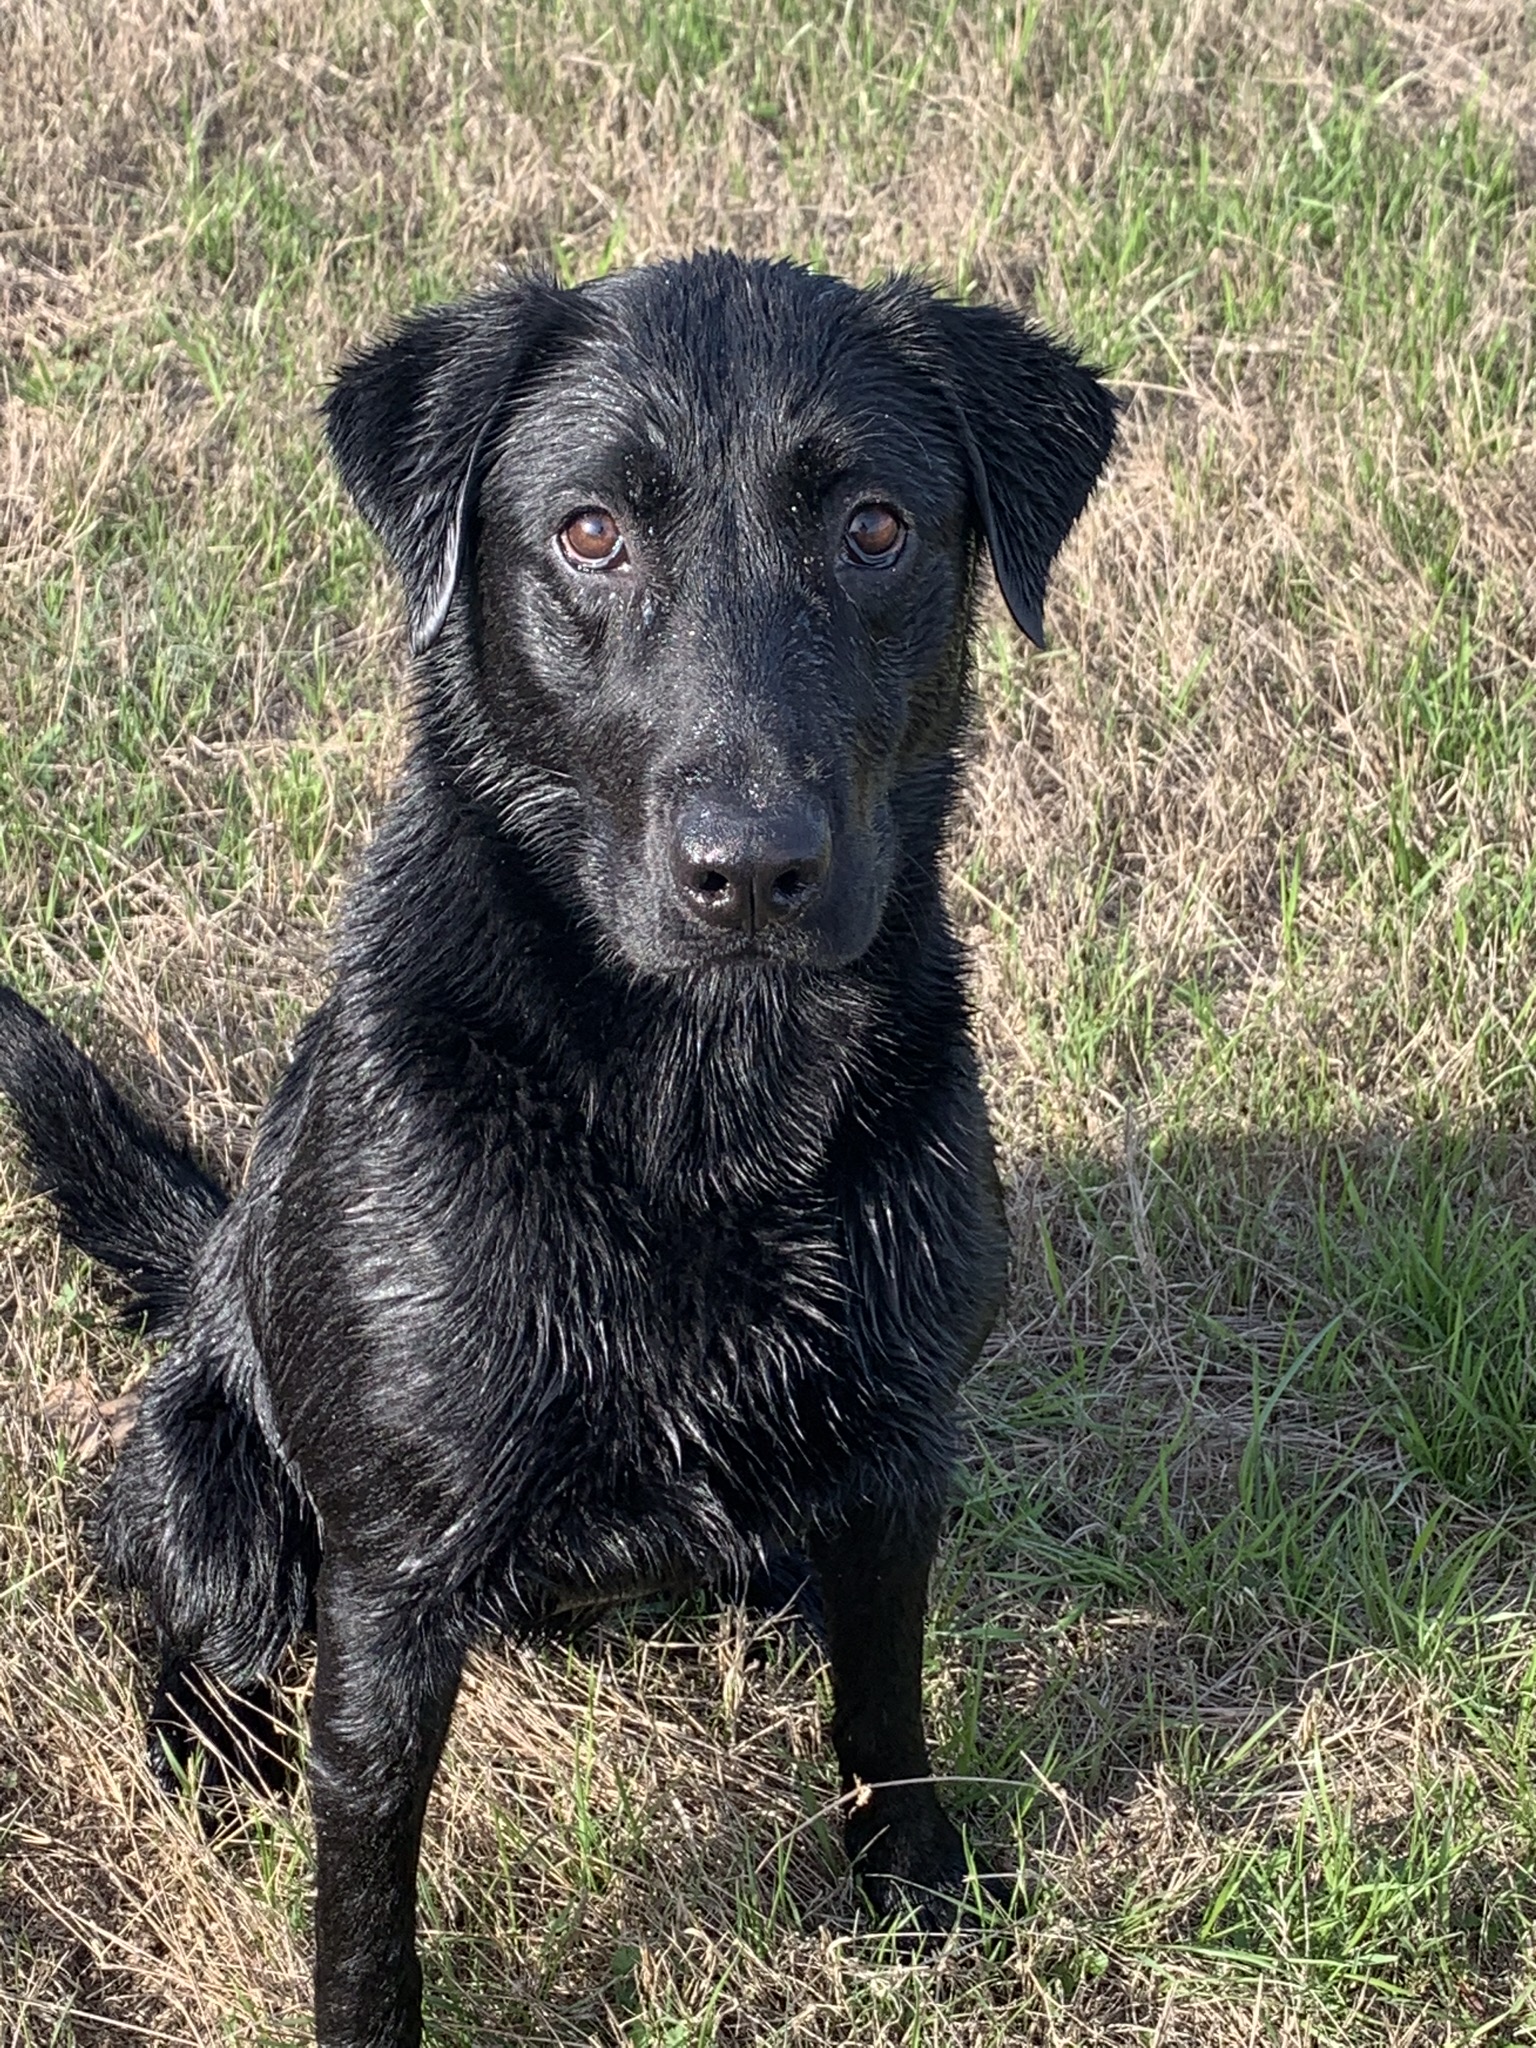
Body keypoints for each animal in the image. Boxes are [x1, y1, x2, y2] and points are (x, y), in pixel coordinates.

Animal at [0, 256, 1114, 2048]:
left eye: (874, 527)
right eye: (590, 532)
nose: (752, 870)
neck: (704, 1104)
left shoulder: (897, 1455)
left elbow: (887, 1708)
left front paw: (920, 1905)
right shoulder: (392, 1581)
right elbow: (364, 1894)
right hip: (215, 1486)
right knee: (194, 1635)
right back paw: (204, 1764)